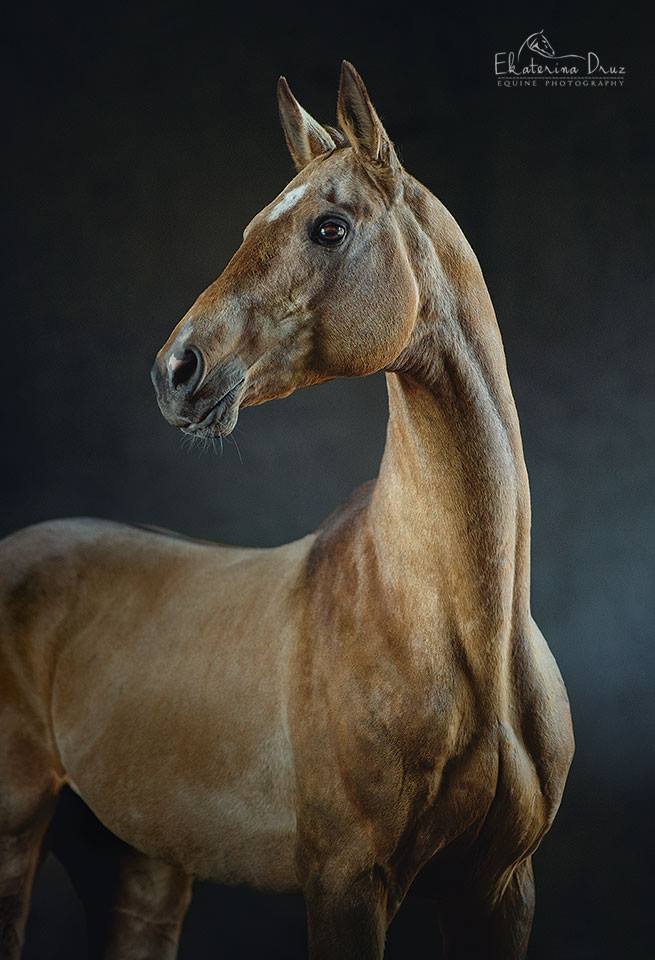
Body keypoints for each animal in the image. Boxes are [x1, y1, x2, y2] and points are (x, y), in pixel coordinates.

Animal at [0, 63, 576, 956]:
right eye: (250, 226)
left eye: (328, 228)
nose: (175, 370)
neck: (461, 636)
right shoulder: (344, 885)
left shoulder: (500, 891)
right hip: (15, 836)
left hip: (137, 867)